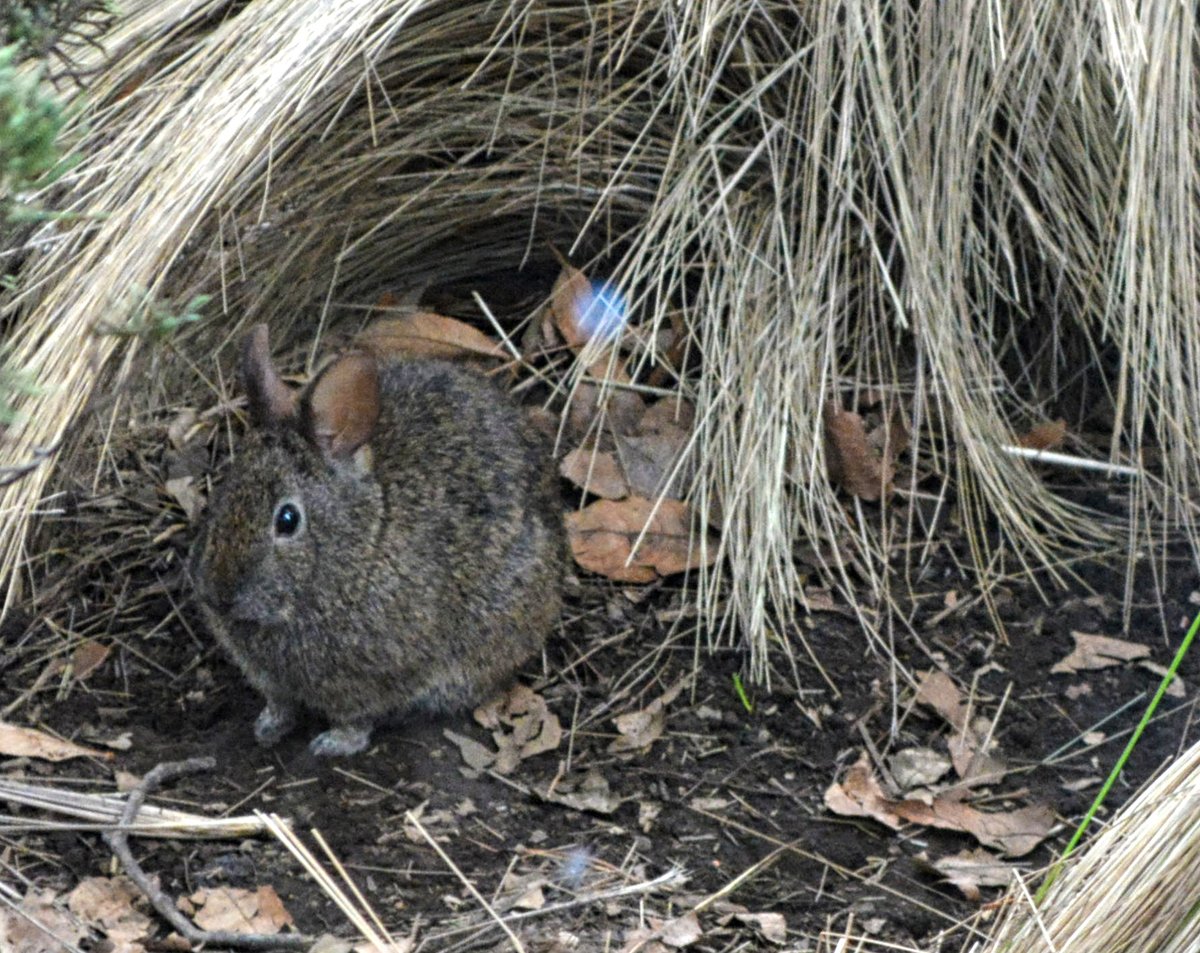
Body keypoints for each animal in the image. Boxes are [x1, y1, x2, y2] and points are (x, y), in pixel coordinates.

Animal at [189, 324, 565, 756]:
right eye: (222, 494)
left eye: (287, 519)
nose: (218, 596)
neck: (363, 545)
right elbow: (280, 701)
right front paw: (269, 726)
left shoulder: (374, 680)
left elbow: (356, 716)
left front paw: (333, 744)